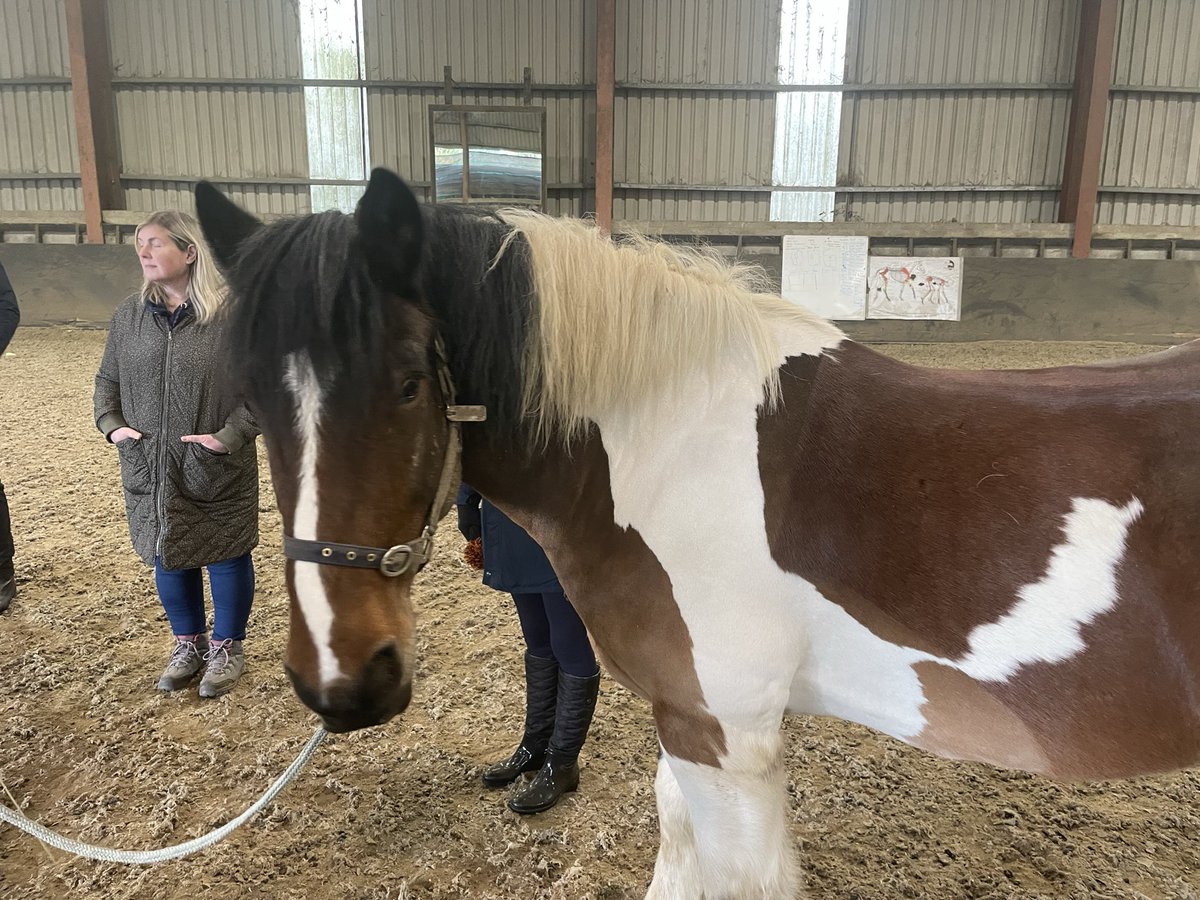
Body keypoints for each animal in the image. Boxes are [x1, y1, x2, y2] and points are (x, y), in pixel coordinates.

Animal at [195, 169, 1200, 899]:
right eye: (250, 396)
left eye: (409, 382)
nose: (342, 680)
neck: (669, 441)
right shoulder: (681, 718)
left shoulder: (728, 734)